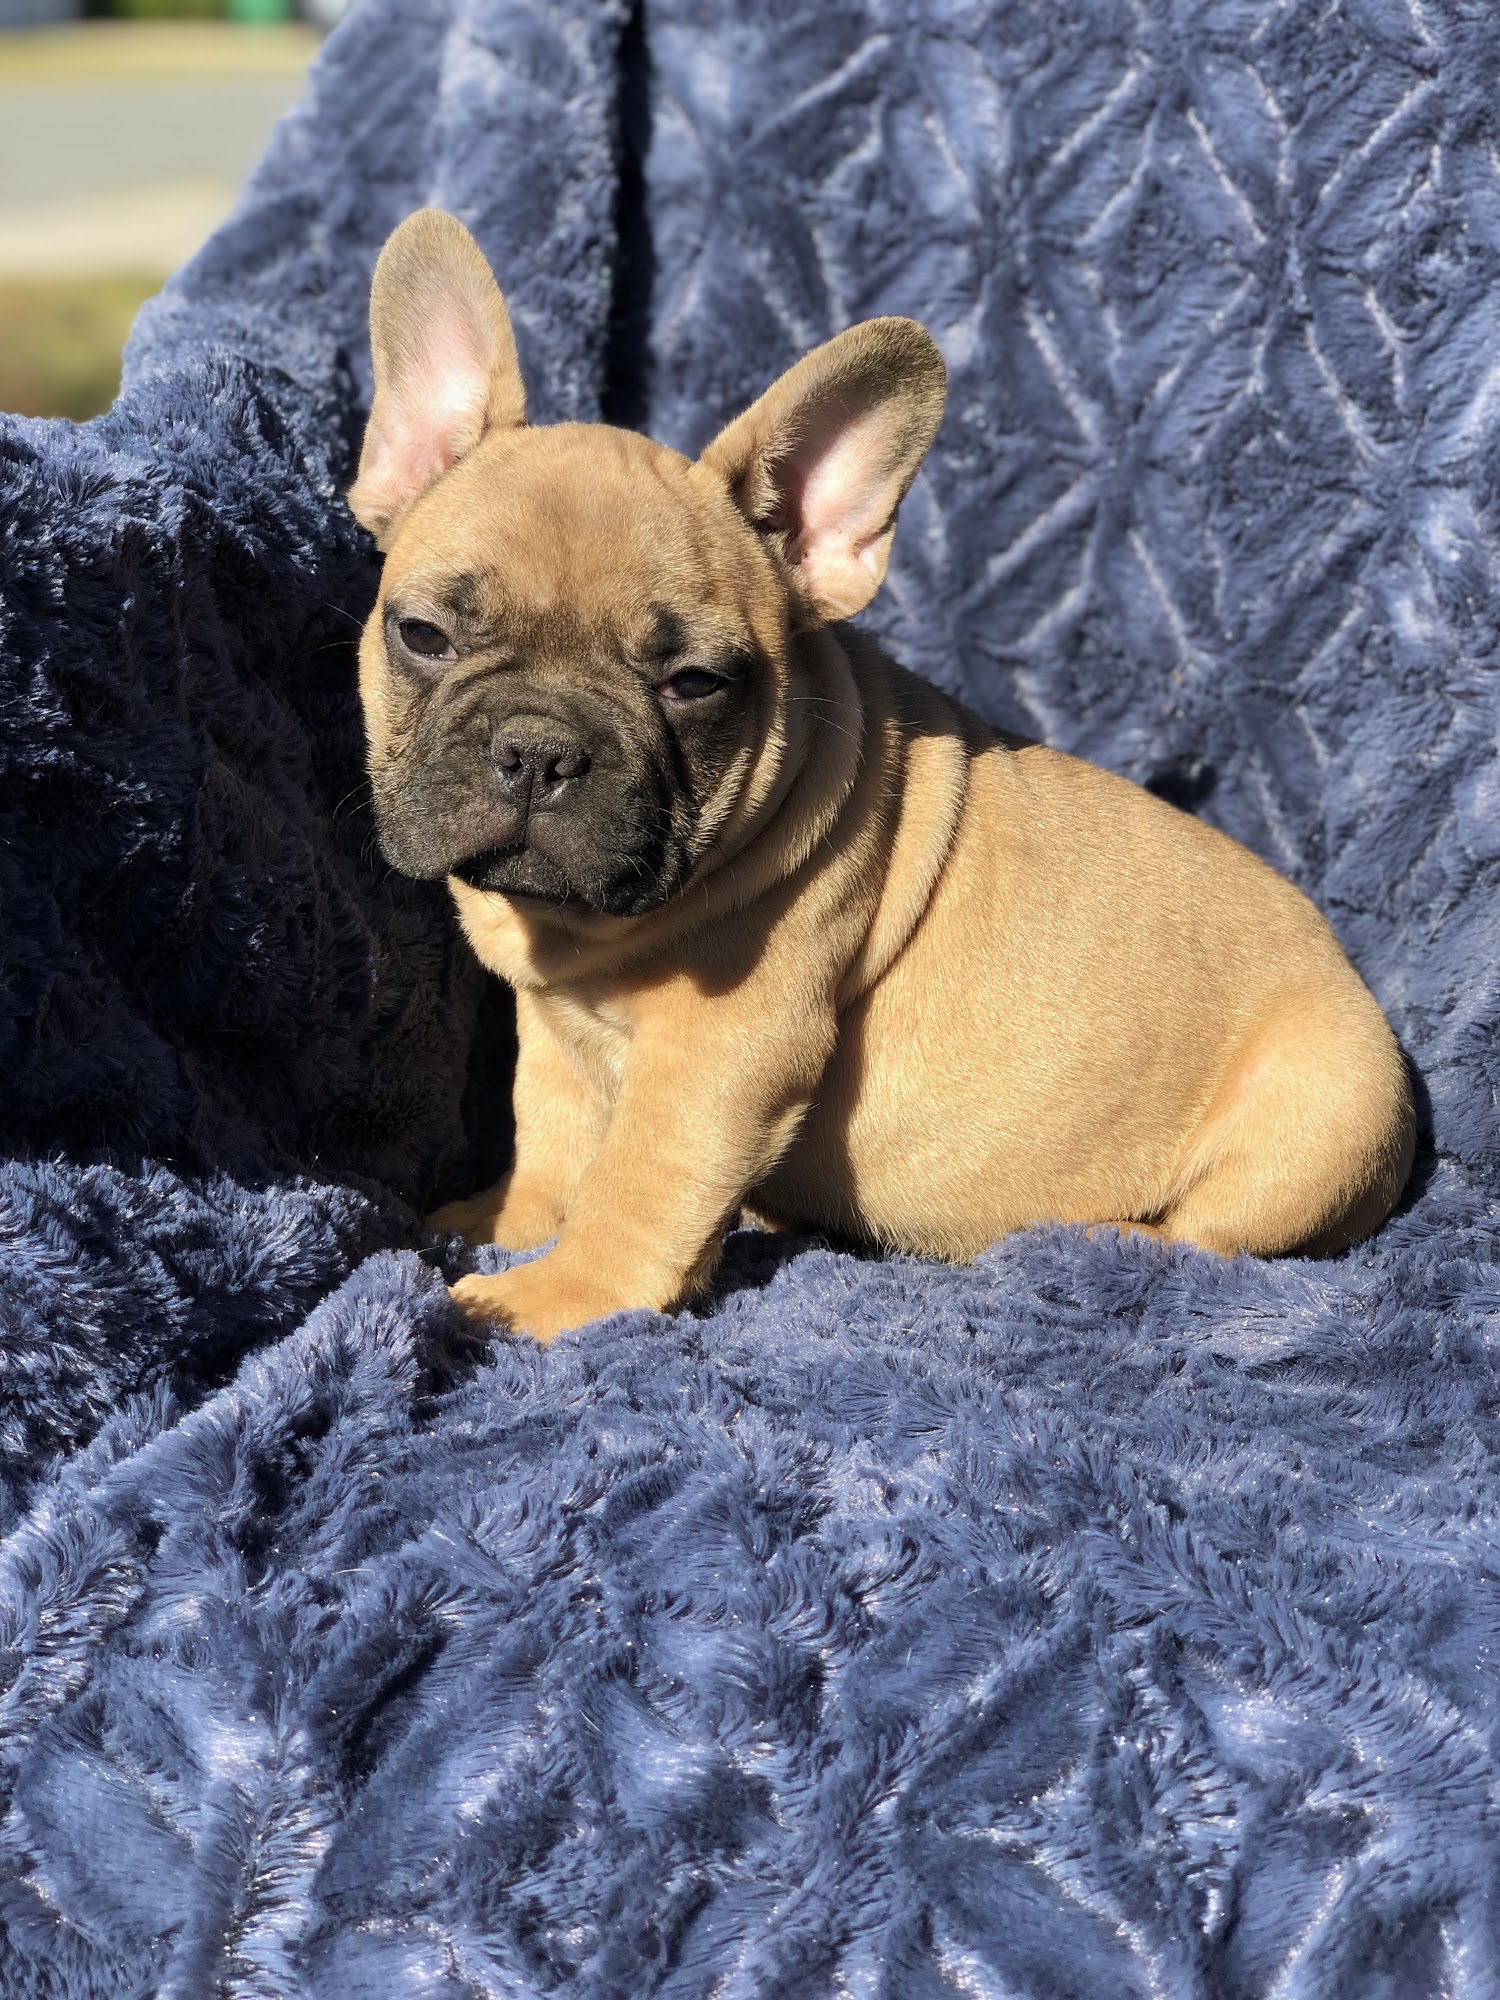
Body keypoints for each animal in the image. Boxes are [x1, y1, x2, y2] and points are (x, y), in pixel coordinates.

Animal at [348, 209, 1415, 1342]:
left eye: (694, 684)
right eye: (423, 635)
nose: (540, 750)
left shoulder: (721, 1050)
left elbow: (640, 1179)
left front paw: (556, 1296)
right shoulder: (556, 1032)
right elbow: (551, 1135)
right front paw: (508, 1220)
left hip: (1327, 1118)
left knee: (1215, 1240)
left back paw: (1094, 1240)